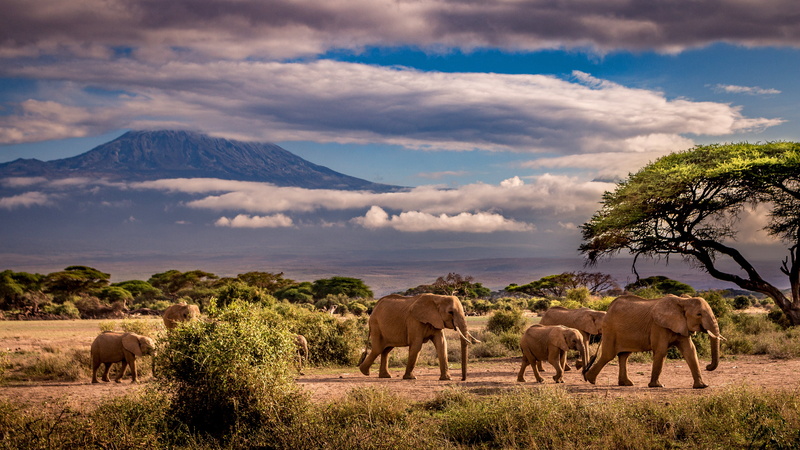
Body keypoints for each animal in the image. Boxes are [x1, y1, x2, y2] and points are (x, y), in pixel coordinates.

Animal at [583, 294, 724, 389]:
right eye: (699, 314)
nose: (708, 366)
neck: (683, 301)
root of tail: (609, 308)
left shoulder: (682, 325)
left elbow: (690, 351)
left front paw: (702, 386)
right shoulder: (658, 326)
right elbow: (661, 351)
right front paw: (657, 386)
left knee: (624, 356)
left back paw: (626, 384)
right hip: (610, 329)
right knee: (608, 355)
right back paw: (590, 379)